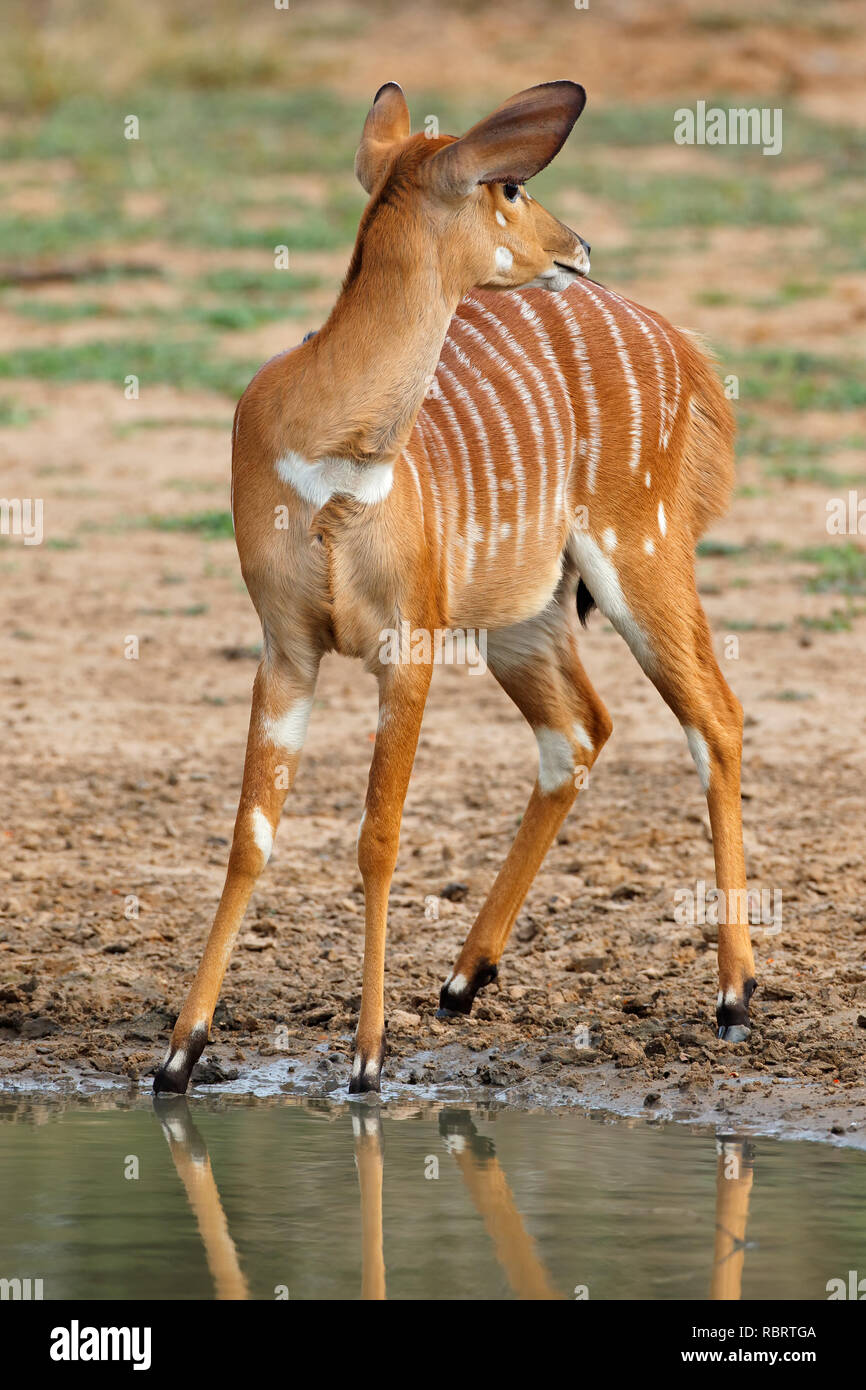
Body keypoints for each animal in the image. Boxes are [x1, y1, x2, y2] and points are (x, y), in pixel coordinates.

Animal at [154, 78, 756, 1095]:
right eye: (509, 184)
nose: (577, 248)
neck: (334, 447)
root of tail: (687, 351)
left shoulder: (408, 643)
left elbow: (378, 835)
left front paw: (365, 1060)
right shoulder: (288, 646)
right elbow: (251, 834)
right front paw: (179, 1053)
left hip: (640, 556)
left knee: (713, 716)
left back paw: (736, 997)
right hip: (525, 615)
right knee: (580, 730)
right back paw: (463, 980)